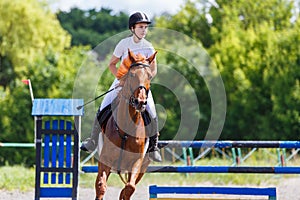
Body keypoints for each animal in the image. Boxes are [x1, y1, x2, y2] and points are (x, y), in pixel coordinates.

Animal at [95, 48, 157, 200]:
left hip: (142, 168)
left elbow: (129, 188)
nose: (141, 102)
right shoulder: (105, 160)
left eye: (149, 76)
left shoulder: (136, 163)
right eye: (132, 75)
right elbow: (101, 186)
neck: (126, 130)